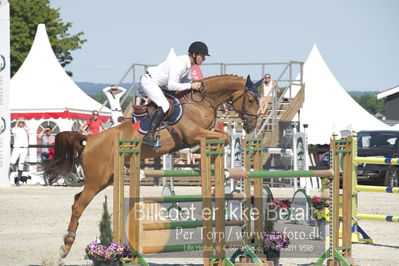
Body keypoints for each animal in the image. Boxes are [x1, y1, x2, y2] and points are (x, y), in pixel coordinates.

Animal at [44, 74, 262, 258]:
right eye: (251, 100)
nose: (251, 126)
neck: (202, 102)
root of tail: (90, 139)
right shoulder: (194, 134)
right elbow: (224, 137)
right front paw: (219, 167)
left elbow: (224, 137)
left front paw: (222, 169)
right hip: (97, 180)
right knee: (78, 205)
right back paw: (66, 247)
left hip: (105, 179)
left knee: (76, 198)